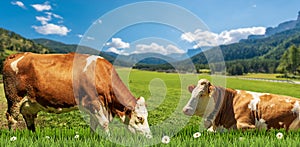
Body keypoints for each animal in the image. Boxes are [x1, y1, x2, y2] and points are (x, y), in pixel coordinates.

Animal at [2, 52, 152, 138]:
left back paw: (34, 137)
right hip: (14, 98)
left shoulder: (95, 106)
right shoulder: (94, 102)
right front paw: (108, 139)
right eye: (139, 118)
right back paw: (12, 137)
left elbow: (93, 124)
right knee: (11, 117)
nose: (149, 137)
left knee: (29, 118)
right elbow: (103, 123)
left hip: (30, 103)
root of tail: (15, 55)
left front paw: (93, 139)